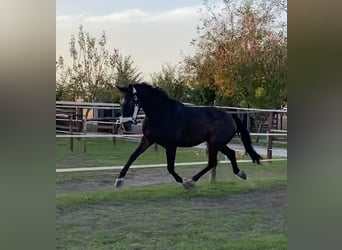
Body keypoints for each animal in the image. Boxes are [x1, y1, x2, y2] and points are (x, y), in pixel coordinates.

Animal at [115, 83, 262, 188]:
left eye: (129, 102)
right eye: (121, 102)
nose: (125, 126)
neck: (161, 114)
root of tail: (230, 116)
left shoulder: (171, 145)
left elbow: (170, 167)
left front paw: (182, 181)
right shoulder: (147, 140)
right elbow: (132, 157)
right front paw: (119, 180)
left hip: (214, 144)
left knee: (213, 162)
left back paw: (190, 181)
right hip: (217, 144)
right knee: (229, 154)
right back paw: (240, 174)